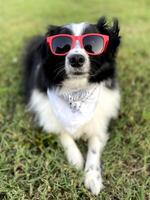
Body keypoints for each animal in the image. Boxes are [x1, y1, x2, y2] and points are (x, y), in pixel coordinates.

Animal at [23, 17, 120, 195]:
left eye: (92, 43)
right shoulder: (50, 117)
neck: (76, 91)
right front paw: (76, 159)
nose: (76, 59)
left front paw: (93, 177)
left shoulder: (99, 122)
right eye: (61, 45)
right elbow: (64, 134)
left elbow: (94, 147)